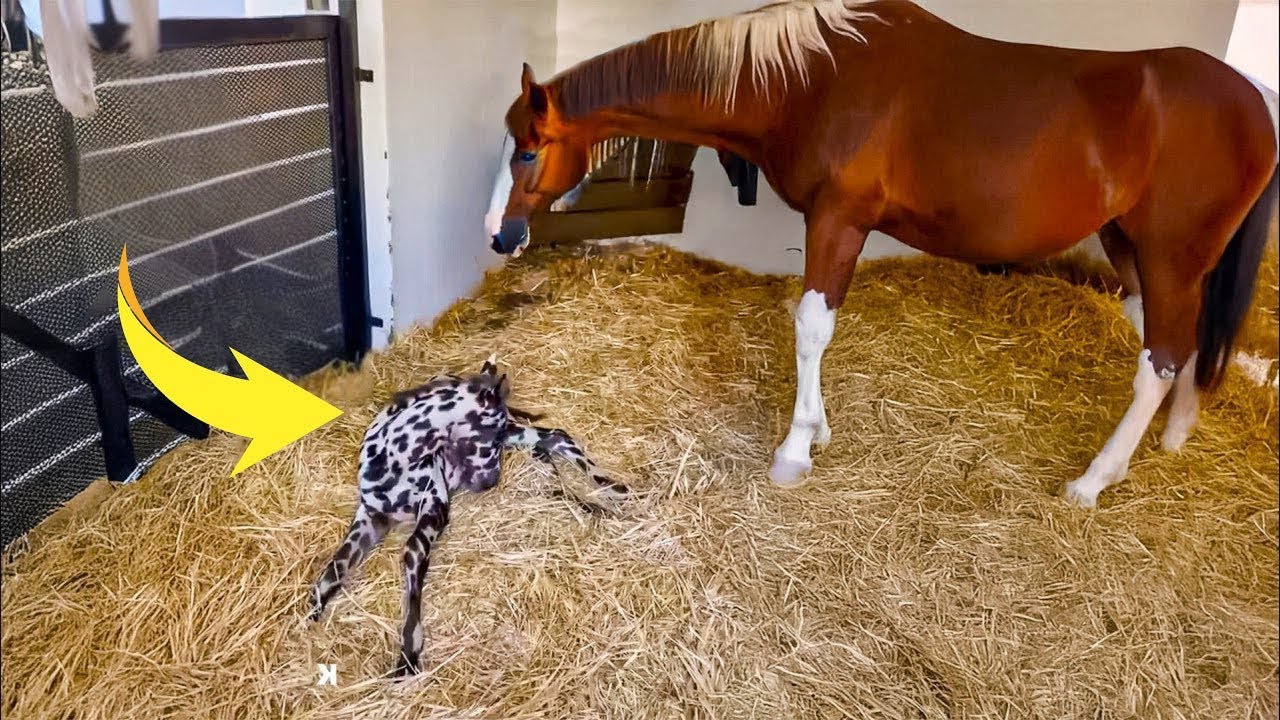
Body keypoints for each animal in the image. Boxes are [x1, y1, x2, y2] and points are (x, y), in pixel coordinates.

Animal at [483, 0, 1278, 508]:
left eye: (528, 150)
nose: (497, 233)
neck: (810, 80)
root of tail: (1255, 106)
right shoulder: (835, 222)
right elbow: (811, 324)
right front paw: (819, 428)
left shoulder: (839, 219)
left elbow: (811, 324)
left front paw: (794, 452)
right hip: (1134, 249)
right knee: (1177, 345)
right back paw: (1168, 441)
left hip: (1169, 256)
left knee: (1161, 360)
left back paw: (1091, 482)